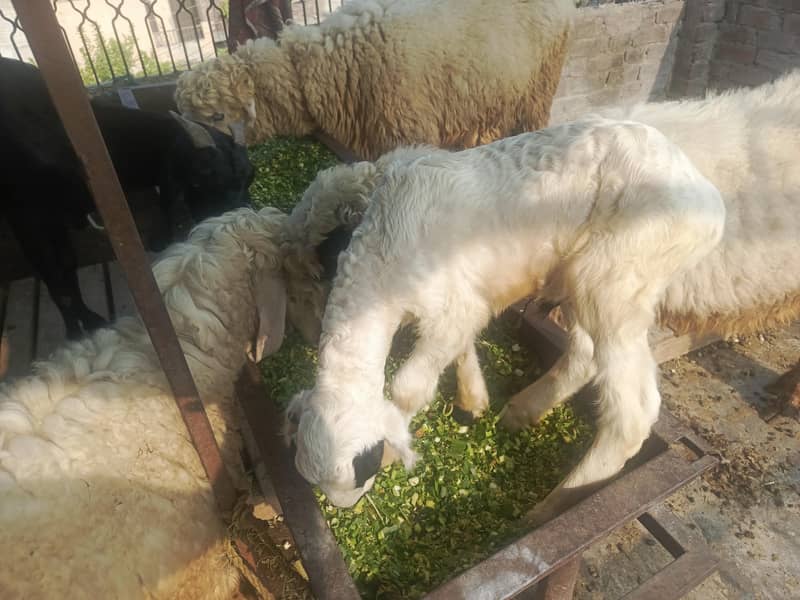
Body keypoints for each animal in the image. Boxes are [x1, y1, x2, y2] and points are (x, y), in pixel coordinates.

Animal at [0, 56, 254, 340]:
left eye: (249, 177)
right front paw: (75, 329)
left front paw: (88, 319)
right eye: (203, 176)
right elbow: (53, 274)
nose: (241, 216)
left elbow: (67, 264)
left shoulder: (56, 217)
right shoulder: (25, 214)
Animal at [284, 72, 800, 522]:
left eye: (360, 474)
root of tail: (707, 194)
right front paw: (474, 398)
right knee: (587, 354)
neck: (381, 249)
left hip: (615, 278)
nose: (349, 510)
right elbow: (462, 343)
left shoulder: (447, 302)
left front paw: (399, 443)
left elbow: (409, 385)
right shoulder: (463, 302)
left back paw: (554, 505)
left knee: (632, 410)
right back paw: (523, 412)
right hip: (590, 279)